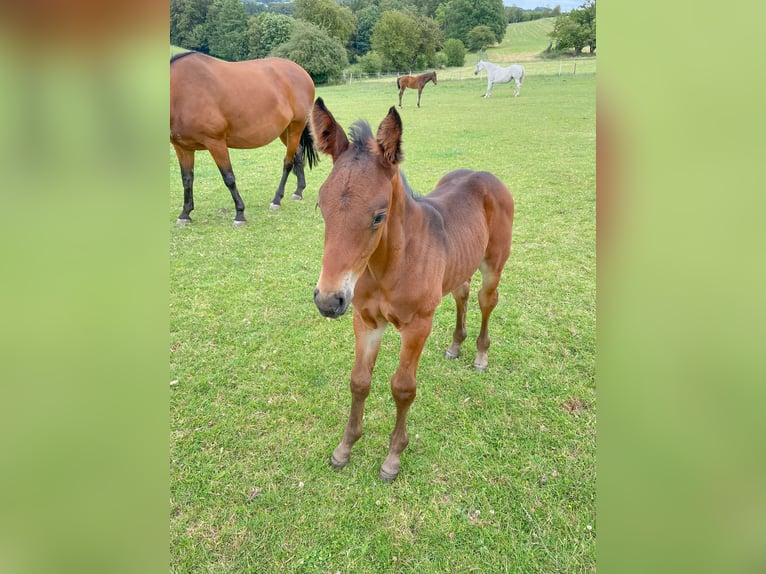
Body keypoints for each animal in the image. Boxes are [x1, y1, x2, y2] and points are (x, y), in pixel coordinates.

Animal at [170, 51, 318, 226]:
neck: (182, 93)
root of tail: (302, 72)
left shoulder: (216, 143)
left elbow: (228, 178)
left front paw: (239, 214)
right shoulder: (182, 147)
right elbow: (187, 179)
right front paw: (185, 214)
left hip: (296, 126)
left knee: (288, 162)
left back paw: (276, 200)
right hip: (285, 131)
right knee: (298, 154)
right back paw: (299, 191)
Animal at [310, 98, 516, 482]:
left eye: (379, 216)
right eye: (320, 206)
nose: (329, 301)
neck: (387, 266)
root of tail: (485, 174)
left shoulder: (418, 325)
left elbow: (403, 389)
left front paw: (392, 459)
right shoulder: (366, 320)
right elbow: (359, 381)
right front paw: (344, 448)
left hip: (493, 265)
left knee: (486, 300)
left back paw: (480, 355)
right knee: (462, 294)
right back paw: (455, 345)